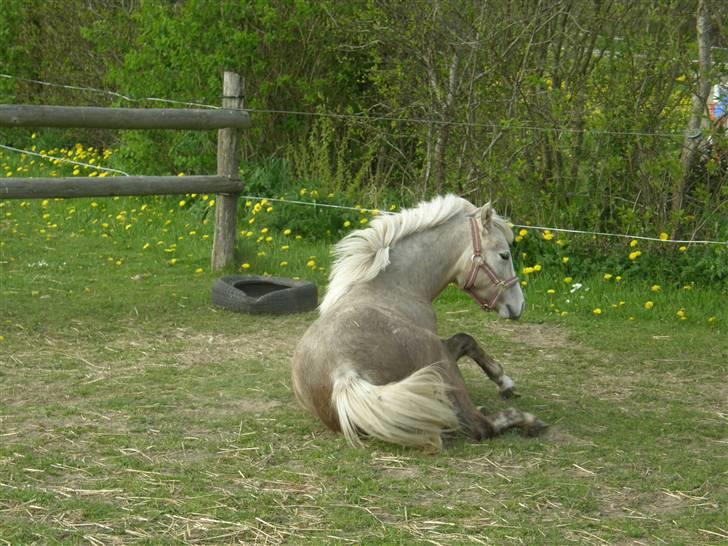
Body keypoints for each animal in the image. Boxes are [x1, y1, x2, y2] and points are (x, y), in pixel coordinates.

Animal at [291, 194, 547, 450]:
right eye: (504, 255)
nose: (519, 305)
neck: (396, 285)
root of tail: (344, 372)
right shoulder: (444, 347)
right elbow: (467, 340)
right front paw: (505, 384)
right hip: (441, 365)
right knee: (480, 425)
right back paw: (529, 421)